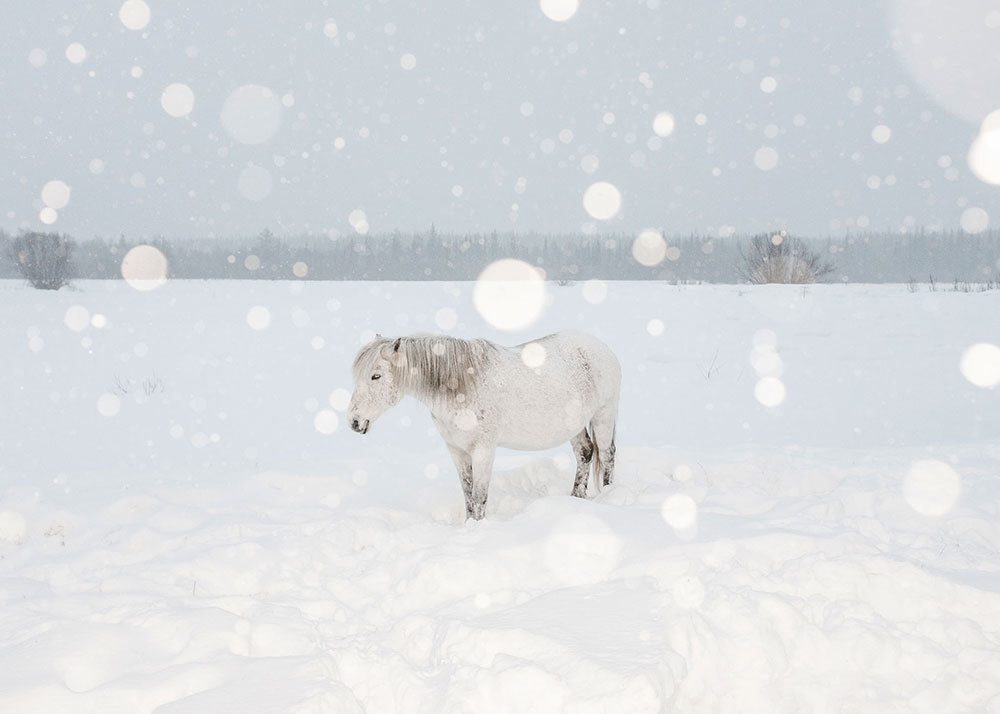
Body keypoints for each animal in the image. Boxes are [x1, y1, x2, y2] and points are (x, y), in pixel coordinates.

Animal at [348, 330, 620, 520]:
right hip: (574, 425)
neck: (461, 388)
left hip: (603, 415)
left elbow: (479, 496)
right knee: (585, 453)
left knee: (607, 455)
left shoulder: (484, 450)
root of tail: (602, 347)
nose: (354, 422)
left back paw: (610, 496)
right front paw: (468, 526)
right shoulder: (457, 450)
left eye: (376, 376)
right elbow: (467, 493)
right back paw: (576, 498)